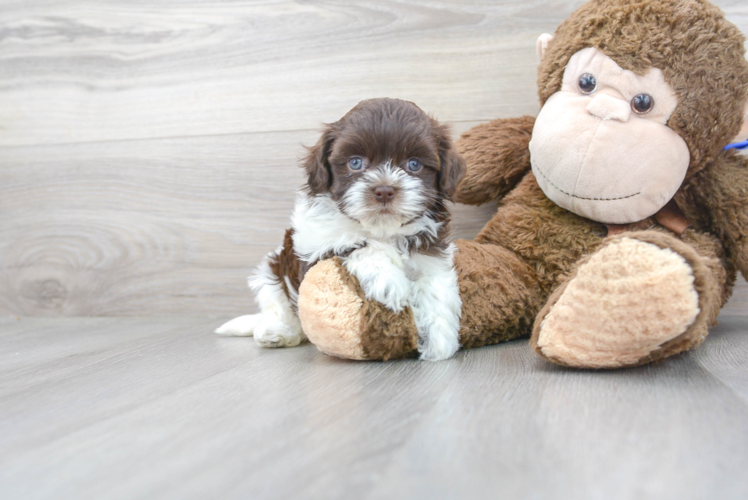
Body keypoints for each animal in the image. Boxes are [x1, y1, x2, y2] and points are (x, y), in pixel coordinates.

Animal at [213, 97, 464, 362]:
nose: (384, 190)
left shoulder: (431, 253)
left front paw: (440, 339)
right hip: (273, 268)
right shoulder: (314, 250)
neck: (381, 230)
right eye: (355, 162)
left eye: (414, 164)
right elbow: (359, 245)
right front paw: (388, 282)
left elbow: (437, 286)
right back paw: (277, 332)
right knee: (278, 305)